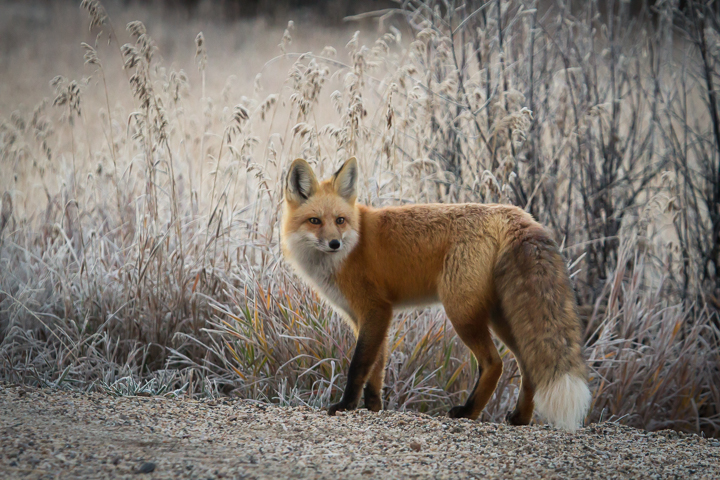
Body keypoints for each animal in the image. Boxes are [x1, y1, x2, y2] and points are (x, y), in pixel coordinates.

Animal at [281, 157, 591, 431]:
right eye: (315, 221)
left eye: (340, 220)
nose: (334, 243)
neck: (353, 245)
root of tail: (515, 213)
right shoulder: (367, 318)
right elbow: (377, 369)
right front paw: (373, 408)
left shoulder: (375, 310)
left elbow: (359, 365)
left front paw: (346, 406)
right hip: (502, 316)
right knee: (528, 366)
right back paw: (520, 418)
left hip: (462, 312)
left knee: (494, 363)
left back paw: (468, 413)